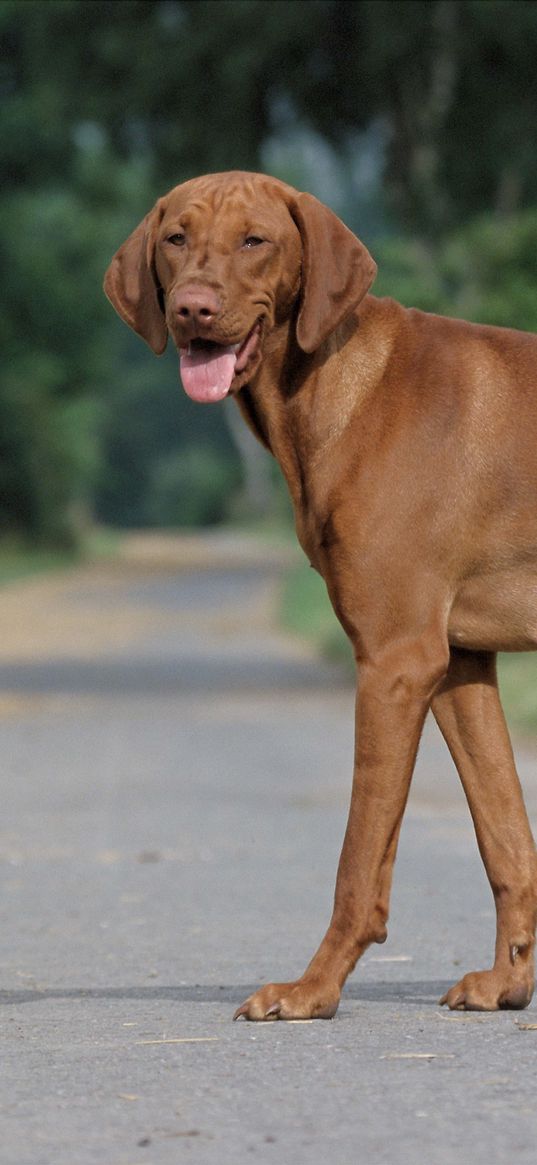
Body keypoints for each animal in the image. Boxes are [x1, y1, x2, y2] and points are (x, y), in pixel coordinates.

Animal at [104, 170, 535, 1020]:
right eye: (175, 238)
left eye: (254, 240)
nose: (192, 308)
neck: (338, 387)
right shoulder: (458, 660)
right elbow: (503, 832)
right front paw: (508, 980)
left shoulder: (396, 661)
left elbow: (357, 859)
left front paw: (312, 987)